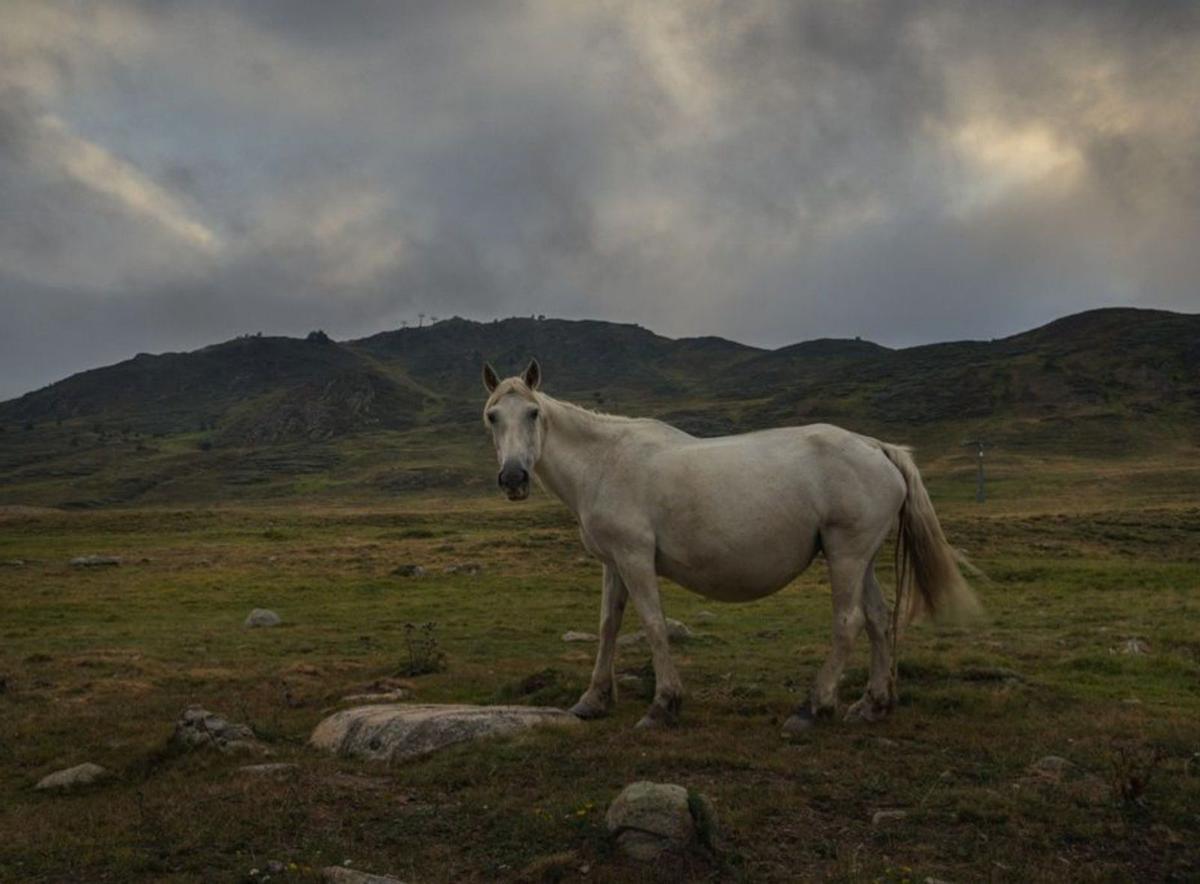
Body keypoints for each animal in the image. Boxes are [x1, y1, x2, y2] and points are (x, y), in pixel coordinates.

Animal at [482, 359, 979, 729]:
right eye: (492, 416)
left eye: (533, 413)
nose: (513, 478)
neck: (605, 461)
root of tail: (876, 447)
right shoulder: (613, 562)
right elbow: (608, 625)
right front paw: (594, 699)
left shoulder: (635, 558)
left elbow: (654, 625)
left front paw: (664, 705)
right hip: (863, 559)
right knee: (877, 619)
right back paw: (872, 704)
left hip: (847, 555)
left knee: (849, 622)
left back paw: (814, 707)